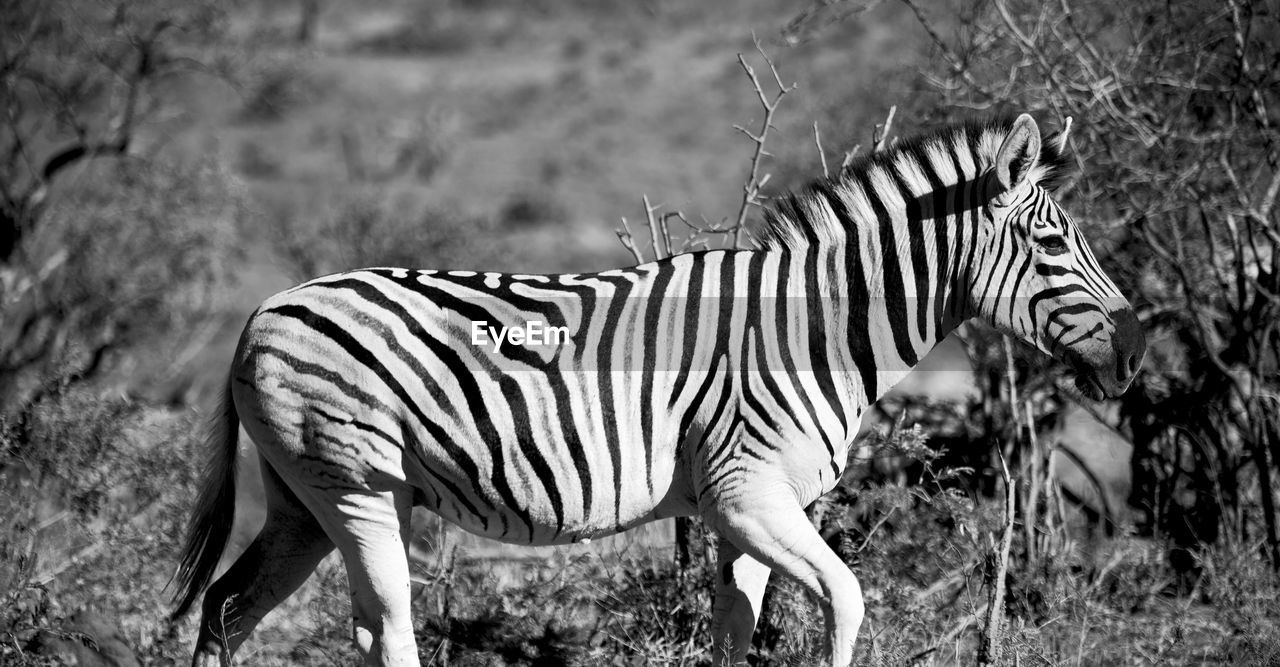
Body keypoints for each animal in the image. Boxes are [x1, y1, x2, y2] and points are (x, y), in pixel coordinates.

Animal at [172, 115, 1152, 665]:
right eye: (1054, 245)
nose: (1139, 350)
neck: (817, 327)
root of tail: (262, 310)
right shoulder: (748, 493)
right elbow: (845, 600)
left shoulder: (741, 512)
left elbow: (733, 631)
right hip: (357, 485)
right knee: (386, 629)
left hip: (304, 498)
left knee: (225, 610)